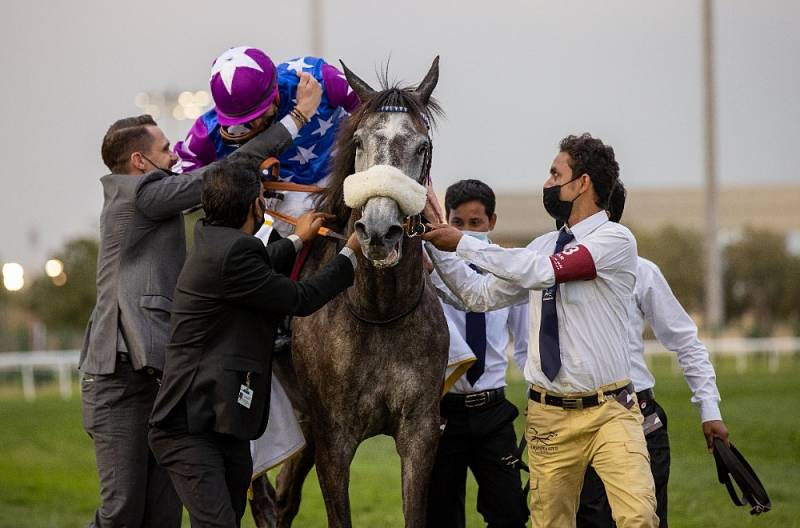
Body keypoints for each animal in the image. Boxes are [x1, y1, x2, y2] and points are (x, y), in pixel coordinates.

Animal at [252, 57, 450, 528]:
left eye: (422, 147)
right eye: (359, 141)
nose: (378, 231)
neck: (377, 311)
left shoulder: (419, 433)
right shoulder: (333, 439)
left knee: (283, 502)